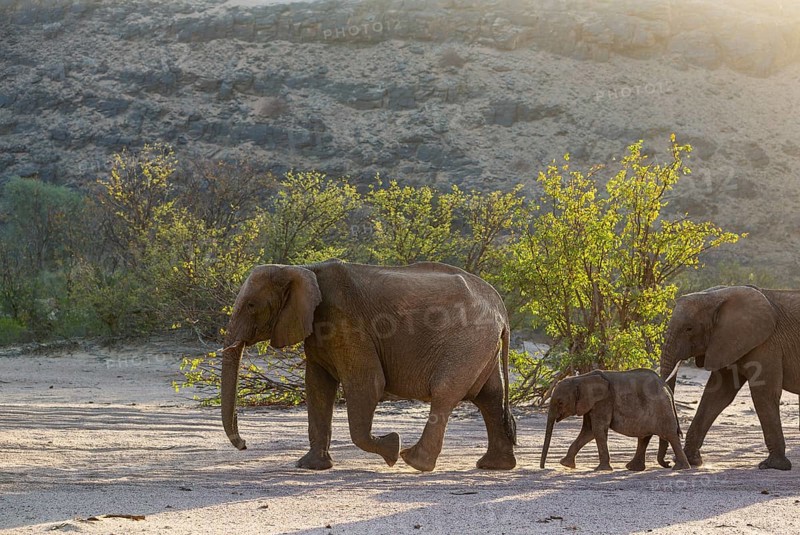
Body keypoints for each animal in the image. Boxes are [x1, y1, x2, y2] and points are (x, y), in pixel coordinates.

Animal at [221, 259, 517, 472]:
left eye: (251, 305)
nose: (244, 444)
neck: (302, 269)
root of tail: (501, 309)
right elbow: (317, 388)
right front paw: (310, 467)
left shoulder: (345, 322)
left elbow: (368, 384)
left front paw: (392, 448)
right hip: (480, 345)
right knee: (490, 397)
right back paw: (493, 466)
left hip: (467, 342)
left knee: (445, 393)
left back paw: (412, 460)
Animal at [540, 369, 690, 471]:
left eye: (560, 403)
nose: (542, 467)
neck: (581, 379)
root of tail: (665, 385)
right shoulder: (592, 405)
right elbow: (589, 431)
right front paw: (565, 464)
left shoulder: (603, 401)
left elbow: (597, 430)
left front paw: (601, 469)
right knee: (644, 437)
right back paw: (633, 468)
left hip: (662, 408)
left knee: (670, 435)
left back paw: (680, 468)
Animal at [660, 285, 800, 470]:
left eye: (689, 328)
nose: (668, 463)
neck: (718, 296)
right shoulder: (726, 342)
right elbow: (717, 395)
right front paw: (692, 461)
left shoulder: (767, 343)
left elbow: (763, 394)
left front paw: (773, 465)